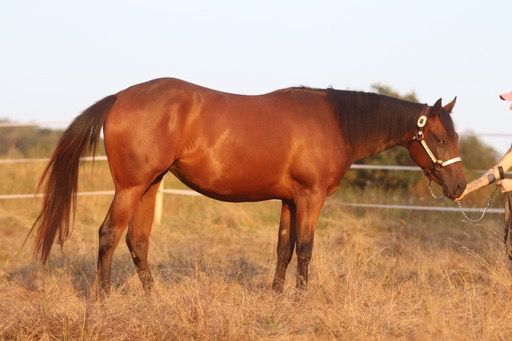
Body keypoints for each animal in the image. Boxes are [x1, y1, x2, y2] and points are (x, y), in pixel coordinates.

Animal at [30, 77, 466, 292]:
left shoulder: (290, 200)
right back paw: (103, 300)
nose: (460, 187)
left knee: (137, 241)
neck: (335, 122)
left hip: (150, 185)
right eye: (439, 138)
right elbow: (305, 250)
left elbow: (284, 249)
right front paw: (301, 300)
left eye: (455, 136)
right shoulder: (310, 198)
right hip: (131, 187)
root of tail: (120, 97)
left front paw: (276, 297)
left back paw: (153, 298)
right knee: (108, 235)